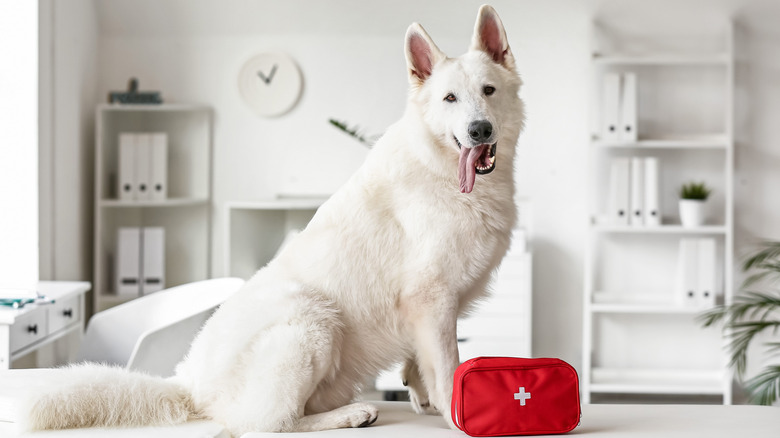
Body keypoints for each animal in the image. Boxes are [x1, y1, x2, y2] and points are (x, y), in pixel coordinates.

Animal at [24, 4, 524, 438]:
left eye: (488, 91)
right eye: (449, 98)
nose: (479, 130)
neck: (438, 167)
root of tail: (188, 384)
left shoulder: (430, 309)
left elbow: (420, 365)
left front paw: (423, 400)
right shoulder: (431, 298)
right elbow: (448, 366)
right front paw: (457, 415)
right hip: (312, 317)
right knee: (267, 423)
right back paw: (350, 414)